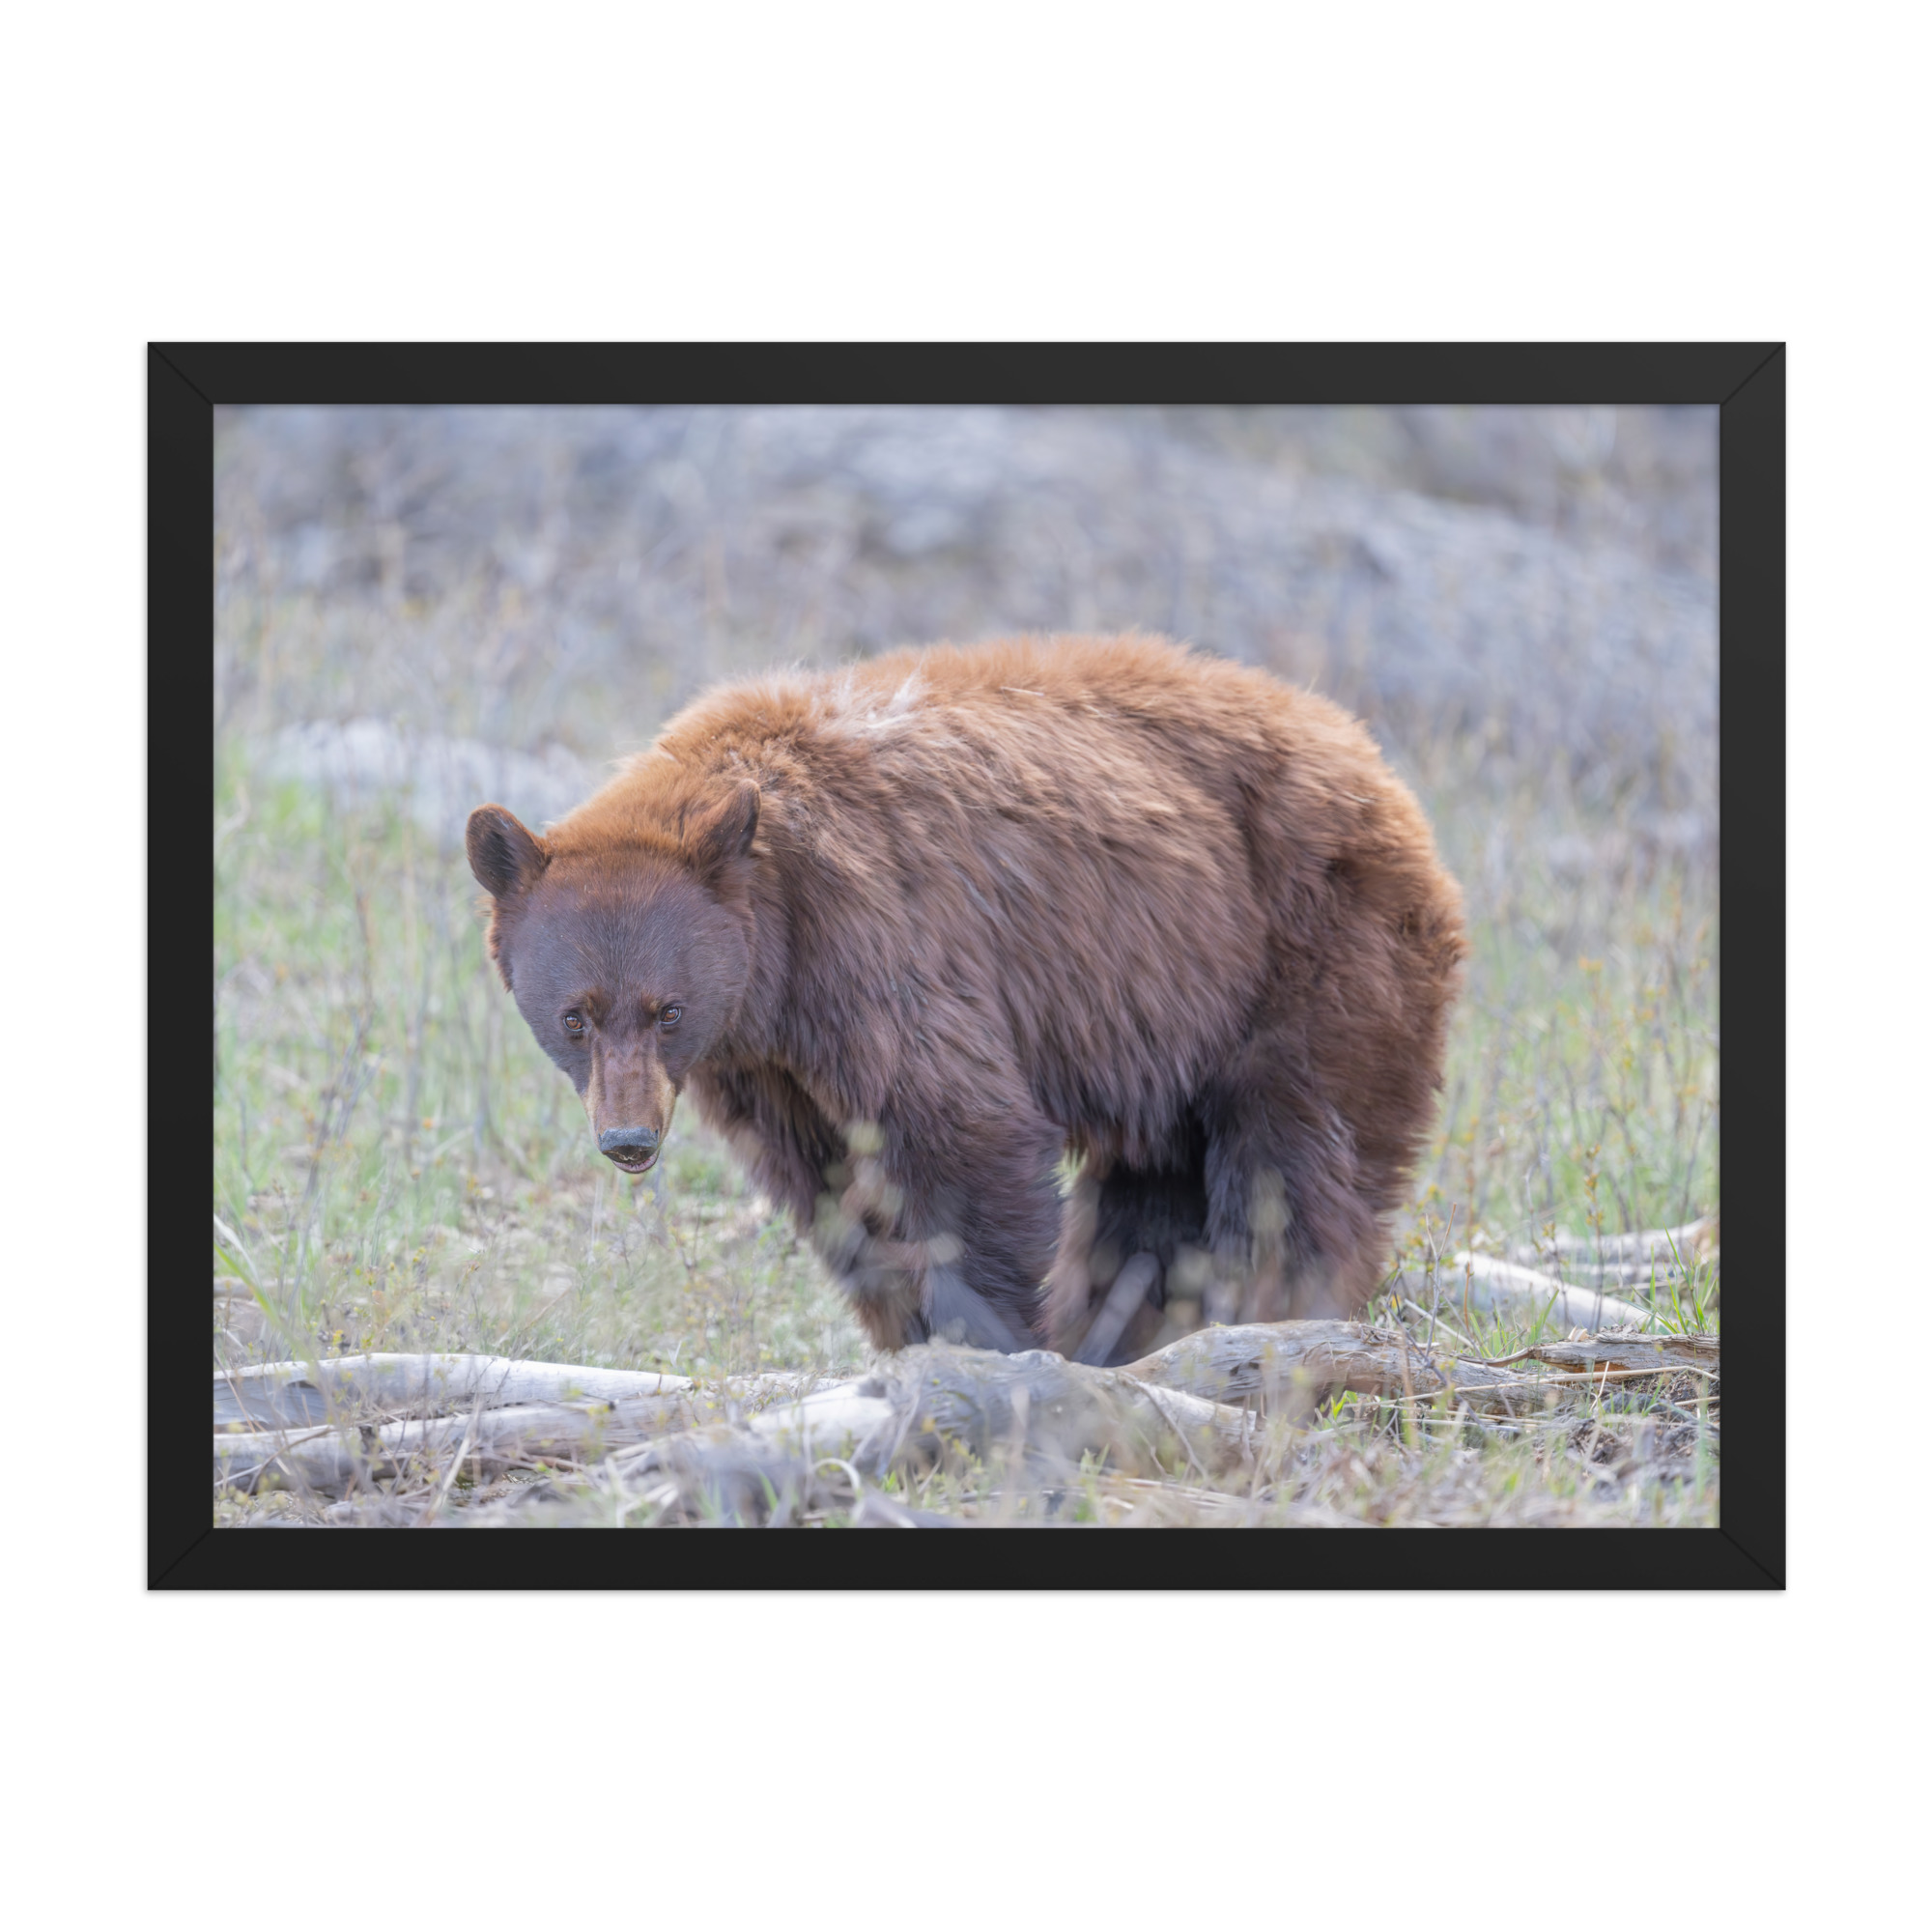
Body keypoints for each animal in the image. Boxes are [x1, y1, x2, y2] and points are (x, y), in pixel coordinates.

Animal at [466, 634, 1465, 1364]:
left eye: (666, 1010)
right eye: (575, 1017)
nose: (628, 1140)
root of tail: (1372, 759)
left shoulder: (879, 945)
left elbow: (961, 1136)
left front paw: (989, 1340)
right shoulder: (767, 1064)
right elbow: (832, 1187)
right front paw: (909, 1334)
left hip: (1308, 949)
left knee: (1294, 1157)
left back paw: (1270, 1312)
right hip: (1174, 1016)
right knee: (1153, 1189)